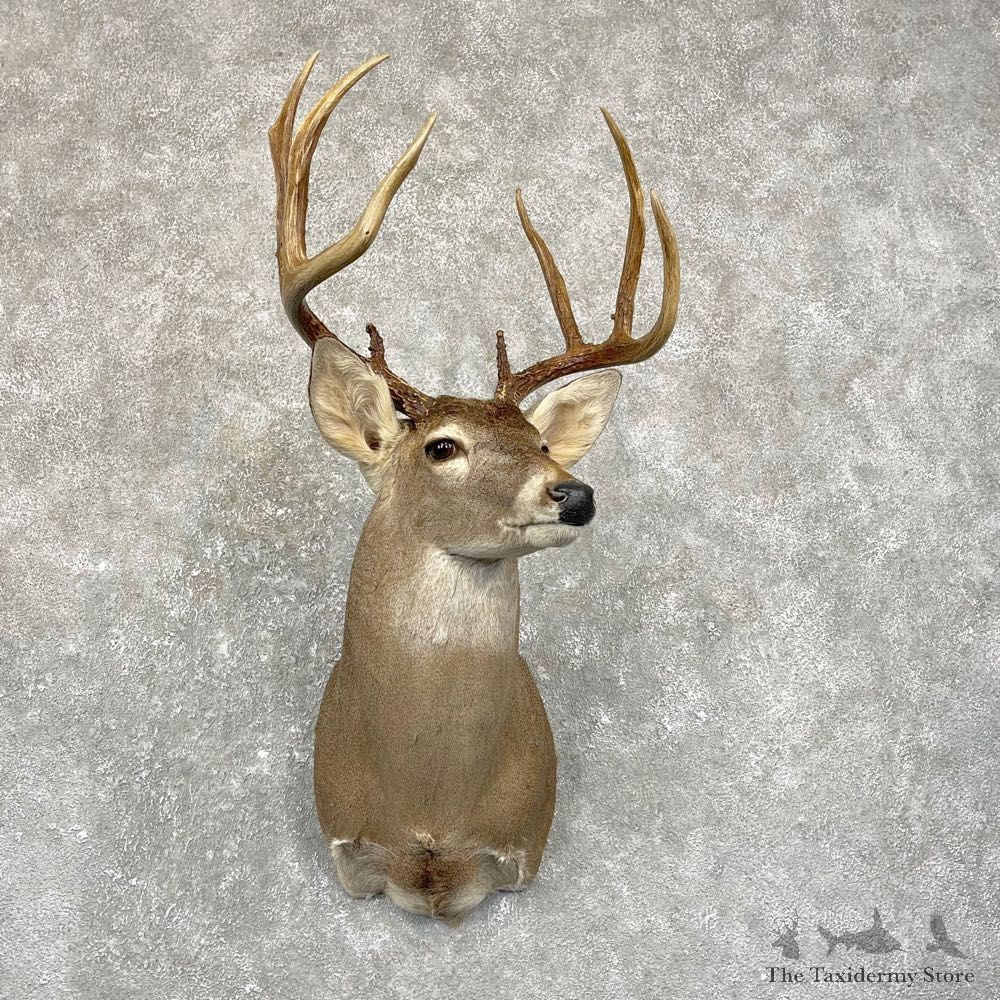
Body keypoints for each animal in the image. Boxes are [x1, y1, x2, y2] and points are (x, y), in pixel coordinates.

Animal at [268, 51, 680, 924]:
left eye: (539, 442)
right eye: (442, 446)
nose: (574, 493)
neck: (431, 805)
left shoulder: (519, 847)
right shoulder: (348, 847)